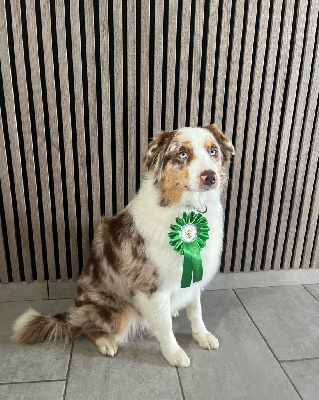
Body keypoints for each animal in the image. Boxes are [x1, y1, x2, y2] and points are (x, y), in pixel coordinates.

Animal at [11, 123, 235, 368]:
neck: (187, 208)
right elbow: (165, 328)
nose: (210, 177)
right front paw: (174, 353)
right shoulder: (153, 286)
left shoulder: (194, 271)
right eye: (182, 154)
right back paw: (105, 342)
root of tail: (74, 309)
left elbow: (196, 312)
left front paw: (202, 336)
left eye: (213, 151)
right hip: (116, 313)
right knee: (85, 327)